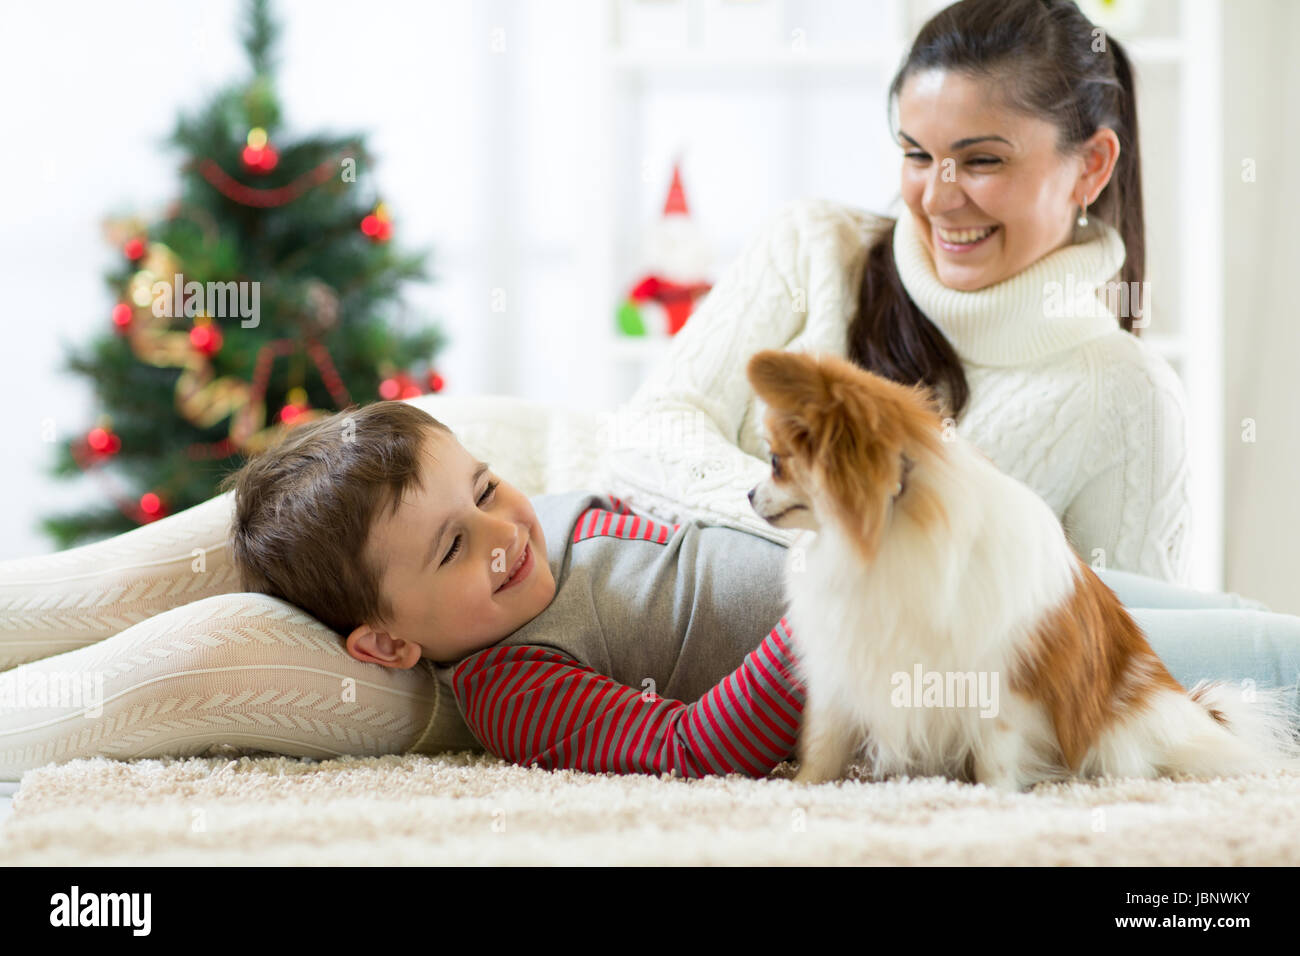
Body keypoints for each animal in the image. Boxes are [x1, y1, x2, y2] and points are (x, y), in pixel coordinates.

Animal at [743, 348, 1300, 790]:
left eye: (775, 463)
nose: (747, 493)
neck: (890, 532)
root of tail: (1187, 712)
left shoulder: (1004, 677)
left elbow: (996, 747)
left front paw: (995, 796)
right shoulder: (843, 662)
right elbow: (824, 740)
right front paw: (803, 789)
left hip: (1117, 734)